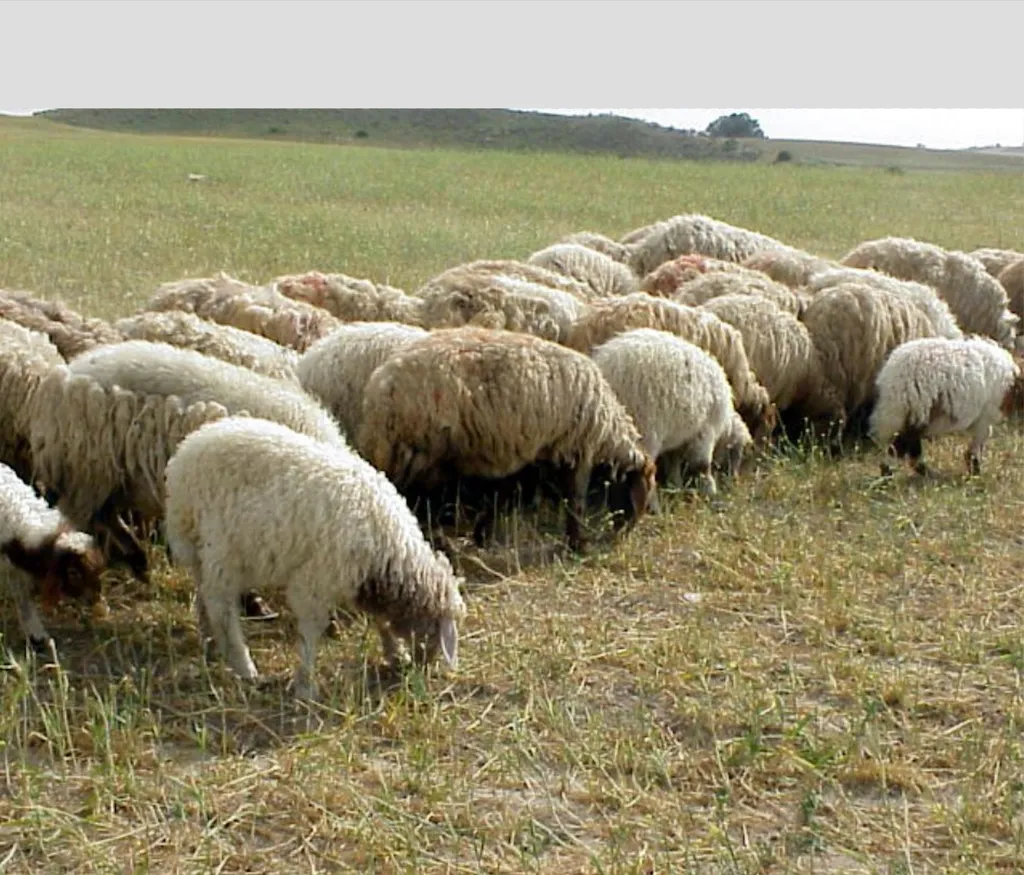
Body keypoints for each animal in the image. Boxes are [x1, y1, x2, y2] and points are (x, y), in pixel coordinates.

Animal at [30, 341, 346, 581]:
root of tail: (67, 372)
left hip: (110, 477)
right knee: (87, 516)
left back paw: (136, 560)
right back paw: (130, 559)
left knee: (103, 516)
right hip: (88, 467)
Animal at [164, 416, 466, 701]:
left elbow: (378, 618)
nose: (423, 668)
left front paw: (394, 653)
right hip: (221, 546)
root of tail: (186, 452)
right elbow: (312, 630)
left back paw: (211, 644)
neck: (388, 550)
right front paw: (306, 685)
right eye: (438, 633)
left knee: (204, 596)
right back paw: (245, 667)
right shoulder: (316, 580)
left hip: (198, 548)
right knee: (221, 606)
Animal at [356, 327, 657, 552]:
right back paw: (439, 544)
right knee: (418, 502)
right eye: (640, 495)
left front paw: (482, 536)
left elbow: (501, 498)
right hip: (423, 455)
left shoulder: (523, 453)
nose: (621, 538)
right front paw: (578, 544)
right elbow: (575, 501)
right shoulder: (576, 449)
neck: (607, 433)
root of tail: (380, 390)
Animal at [589, 329, 741, 497]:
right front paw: (709, 491)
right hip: (644, 428)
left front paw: (675, 485)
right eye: (735, 452)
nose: (734, 481)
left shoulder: (678, 437)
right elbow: (702, 465)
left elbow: (674, 461)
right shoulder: (706, 431)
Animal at [869, 336, 1024, 477]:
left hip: (911, 413)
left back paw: (924, 472)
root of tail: (892, 379)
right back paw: (891, 474)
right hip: (917, 409)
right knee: (900, 446)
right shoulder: (985, 415)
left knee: (910, 445)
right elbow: (981, 438)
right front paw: (975, 469)